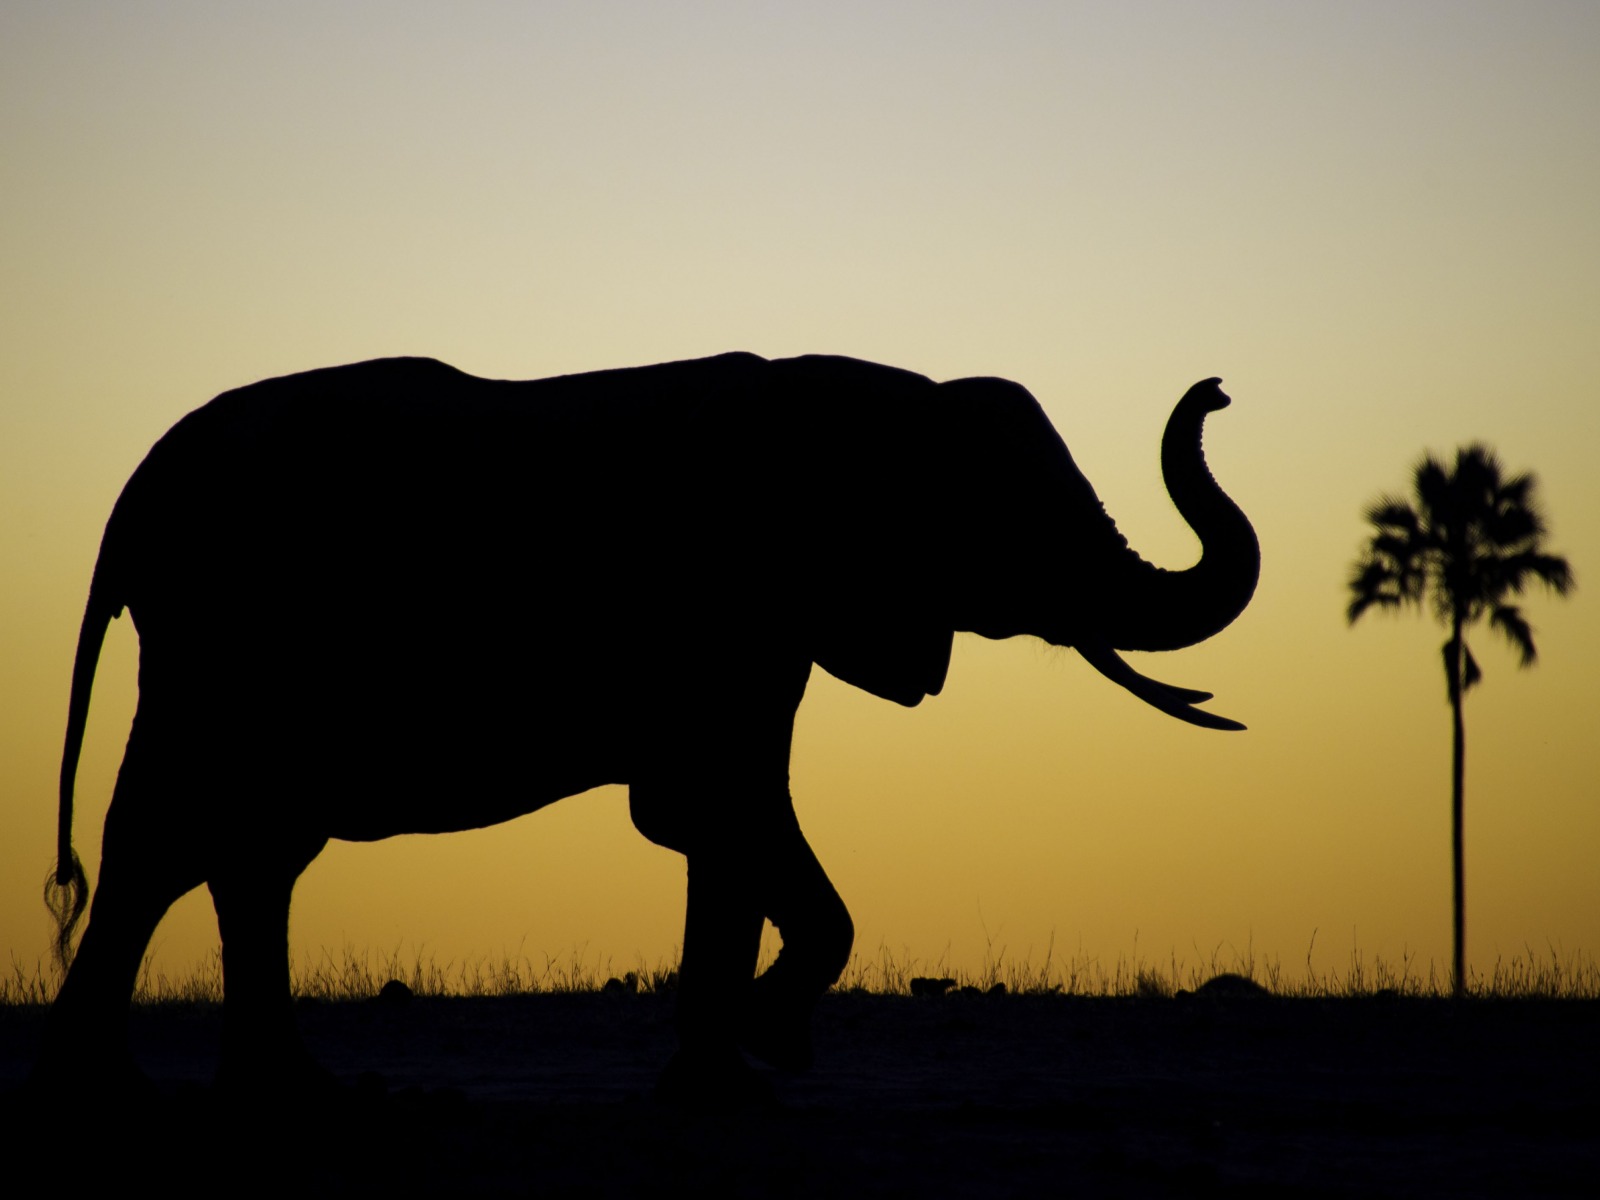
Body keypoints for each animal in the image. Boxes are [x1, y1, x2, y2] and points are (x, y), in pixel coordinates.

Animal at [36, 351, 1259, 1103]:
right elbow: (714, 806)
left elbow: (716, 822)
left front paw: (726, 1087)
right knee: (168, 837)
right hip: (217, 639)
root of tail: (134, 495)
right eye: (1001, 514)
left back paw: (301, 1094)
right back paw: (119, 1091)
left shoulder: (765, 630)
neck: (848, 392)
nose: (1218, 393)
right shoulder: (718, 602)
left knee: (255, 852)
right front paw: (774, 1047)